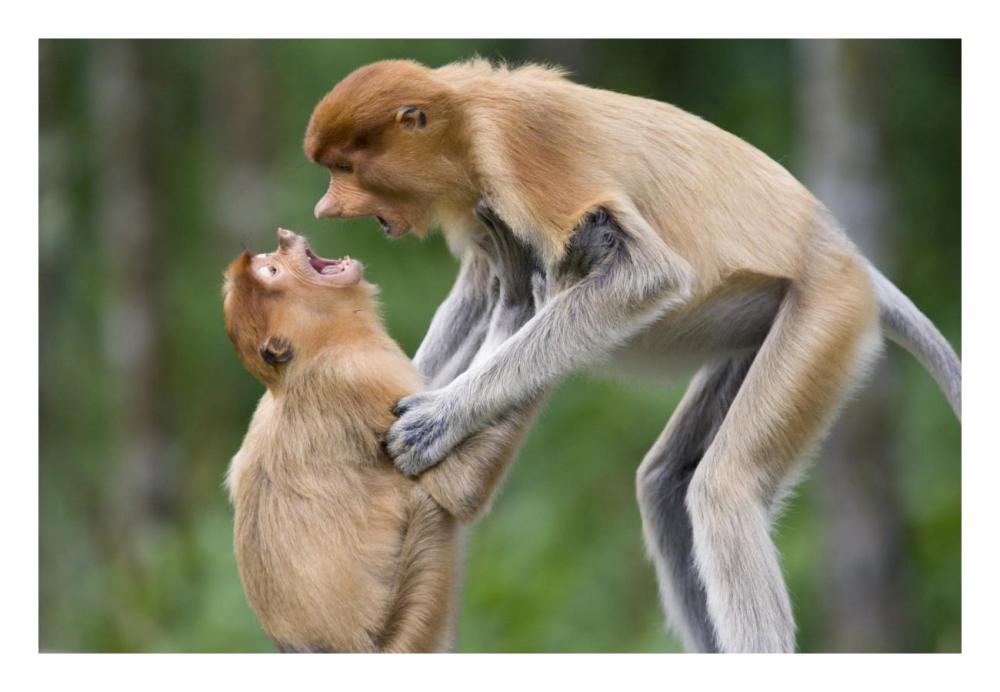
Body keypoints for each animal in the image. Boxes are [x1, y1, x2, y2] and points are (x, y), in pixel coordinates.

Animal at [222, 225, 540, 652]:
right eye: (272, 270)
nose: (283, 238)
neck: (307, 362)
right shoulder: (362, 375)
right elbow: (456, 489)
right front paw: (518, 294)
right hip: (414, 621)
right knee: (429, 504)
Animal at [303, 59, 961, 653]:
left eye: (346, 167)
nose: (325, 210)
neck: (466, 120)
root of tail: (848, 254)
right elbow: (479, 292)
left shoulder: (525, 155)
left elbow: (642, 276)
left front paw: (435, 419)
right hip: (765, 322)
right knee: (667, 483)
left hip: (824, 311)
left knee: (724, 488)